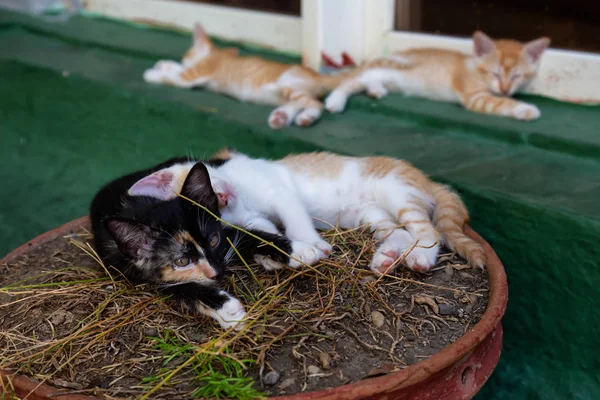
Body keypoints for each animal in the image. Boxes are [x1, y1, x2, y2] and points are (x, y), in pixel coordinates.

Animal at [89, 156, 292, 328]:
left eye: (213, 240)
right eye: (182, 261)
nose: (217, 273)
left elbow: (240, 234)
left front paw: (289, 249)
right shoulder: (130, 267)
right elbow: (180, 287)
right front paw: (228, 310)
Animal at [127, 148, 488, 274]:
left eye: (209, 183)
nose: (224, 195)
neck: (242, 198)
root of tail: (427, 180)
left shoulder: (280, 192)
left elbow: (295, 218)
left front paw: (312, 244)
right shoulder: (252, 218)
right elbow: (268, 231)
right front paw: (278, 255)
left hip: (397, 191)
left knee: (428, 229)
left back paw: (421, 256)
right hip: (371, 216)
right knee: (398, 232)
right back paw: (386, 257)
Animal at [144, 23, 346, 129]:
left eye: (187, 53)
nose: (185, 57)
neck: (214, 55)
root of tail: (317, 75)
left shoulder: (194, 75)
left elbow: (175, 76)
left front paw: (153, 73)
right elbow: (176, 70)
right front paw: (165, 64)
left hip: (288, 84)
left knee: (315, 104)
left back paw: (306, 117)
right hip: (286, 94)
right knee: (301, 102)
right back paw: (283, 117)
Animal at [326, 31, 552, 120]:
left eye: (517, 76)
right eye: (494, 73)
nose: (505, 89)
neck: (474, 67)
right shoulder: (474, 96)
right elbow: (499, 103)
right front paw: (526, 109)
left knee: (367, 82)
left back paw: (376, 90)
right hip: (384, 66)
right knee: (350, 81)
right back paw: (335, 101)